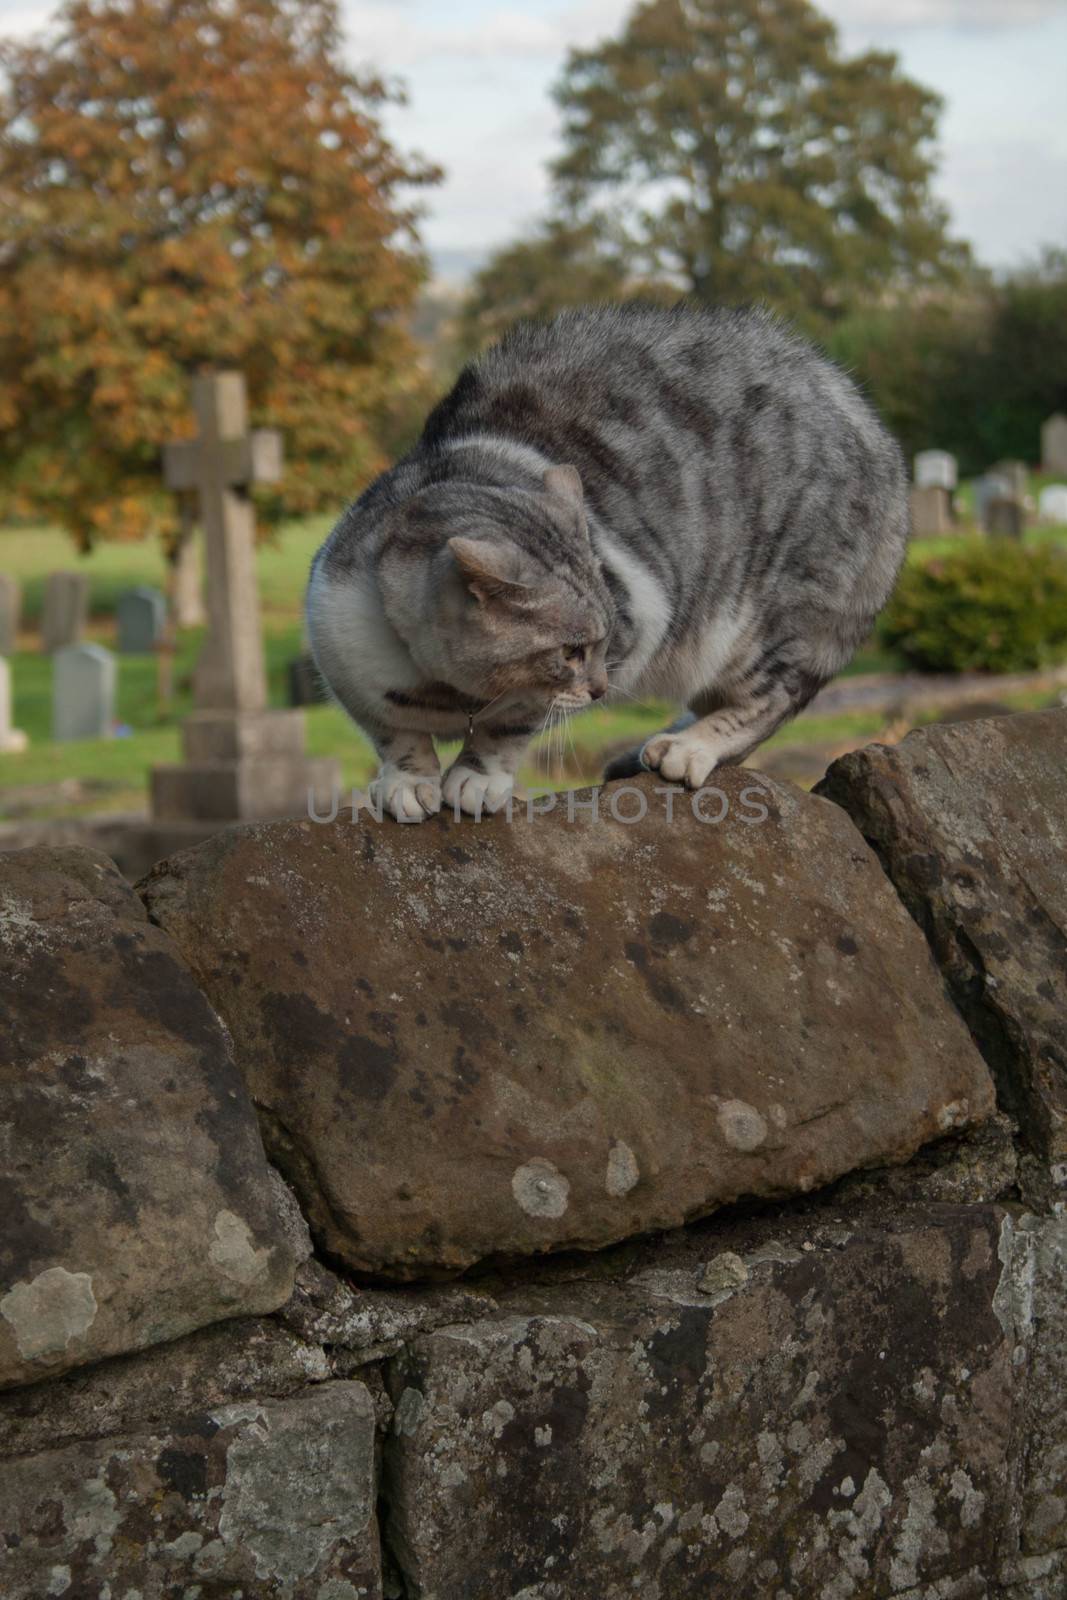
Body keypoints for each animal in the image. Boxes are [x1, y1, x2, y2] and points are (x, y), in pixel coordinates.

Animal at [308, 302, 908, 825]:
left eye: (601, 641)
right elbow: (394, 732)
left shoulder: (637, 615)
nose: (599, 689)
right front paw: (408, 782)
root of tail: (879, 431)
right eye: (570, 651)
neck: (450, 698)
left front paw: (478, 776)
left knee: (768, 700)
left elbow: (511, 726)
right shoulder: (340, 657)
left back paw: (685, 749)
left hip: (777, 617)